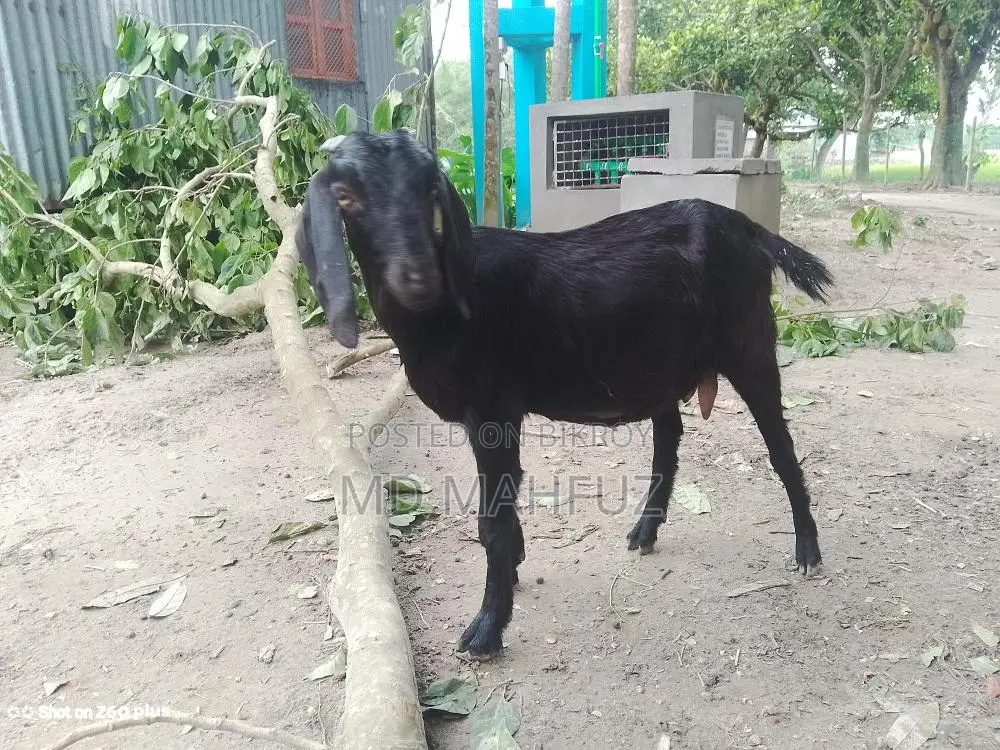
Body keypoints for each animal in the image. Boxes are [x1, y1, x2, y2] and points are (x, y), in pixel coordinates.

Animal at [296, 128, 834, 657]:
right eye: (346, 196)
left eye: (430, 191)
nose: (419, 277)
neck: (442, 316)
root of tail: (747, 228)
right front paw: (513, 569)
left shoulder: (492, 410)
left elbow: (492, 520)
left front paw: (487, 628)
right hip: (659, 366)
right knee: (670, 435)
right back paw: (645, 530)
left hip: (750, 343)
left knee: (780, 446)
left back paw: (808, 550)